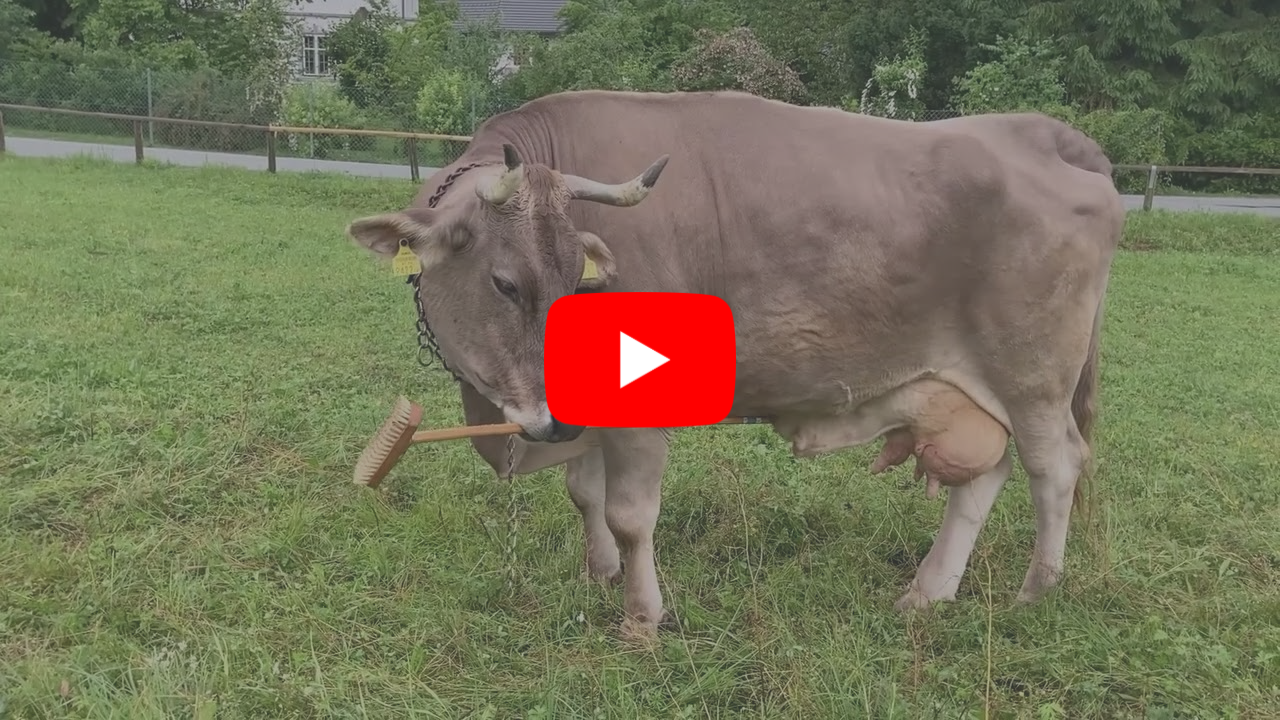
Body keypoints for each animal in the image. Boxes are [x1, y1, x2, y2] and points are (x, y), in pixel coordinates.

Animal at [344, 89, 1125, 641]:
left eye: (577, 281)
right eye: (507, 284)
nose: (553, 422)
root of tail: (1045, 133)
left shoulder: (636, 409)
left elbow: (630, 515)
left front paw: (642, 618)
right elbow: (584, 494)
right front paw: (598, 574)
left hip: (1034, 379)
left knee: (1055, 468)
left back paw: (1036, 590)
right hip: (974, 391)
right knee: (985, 476)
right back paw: (928, 592)